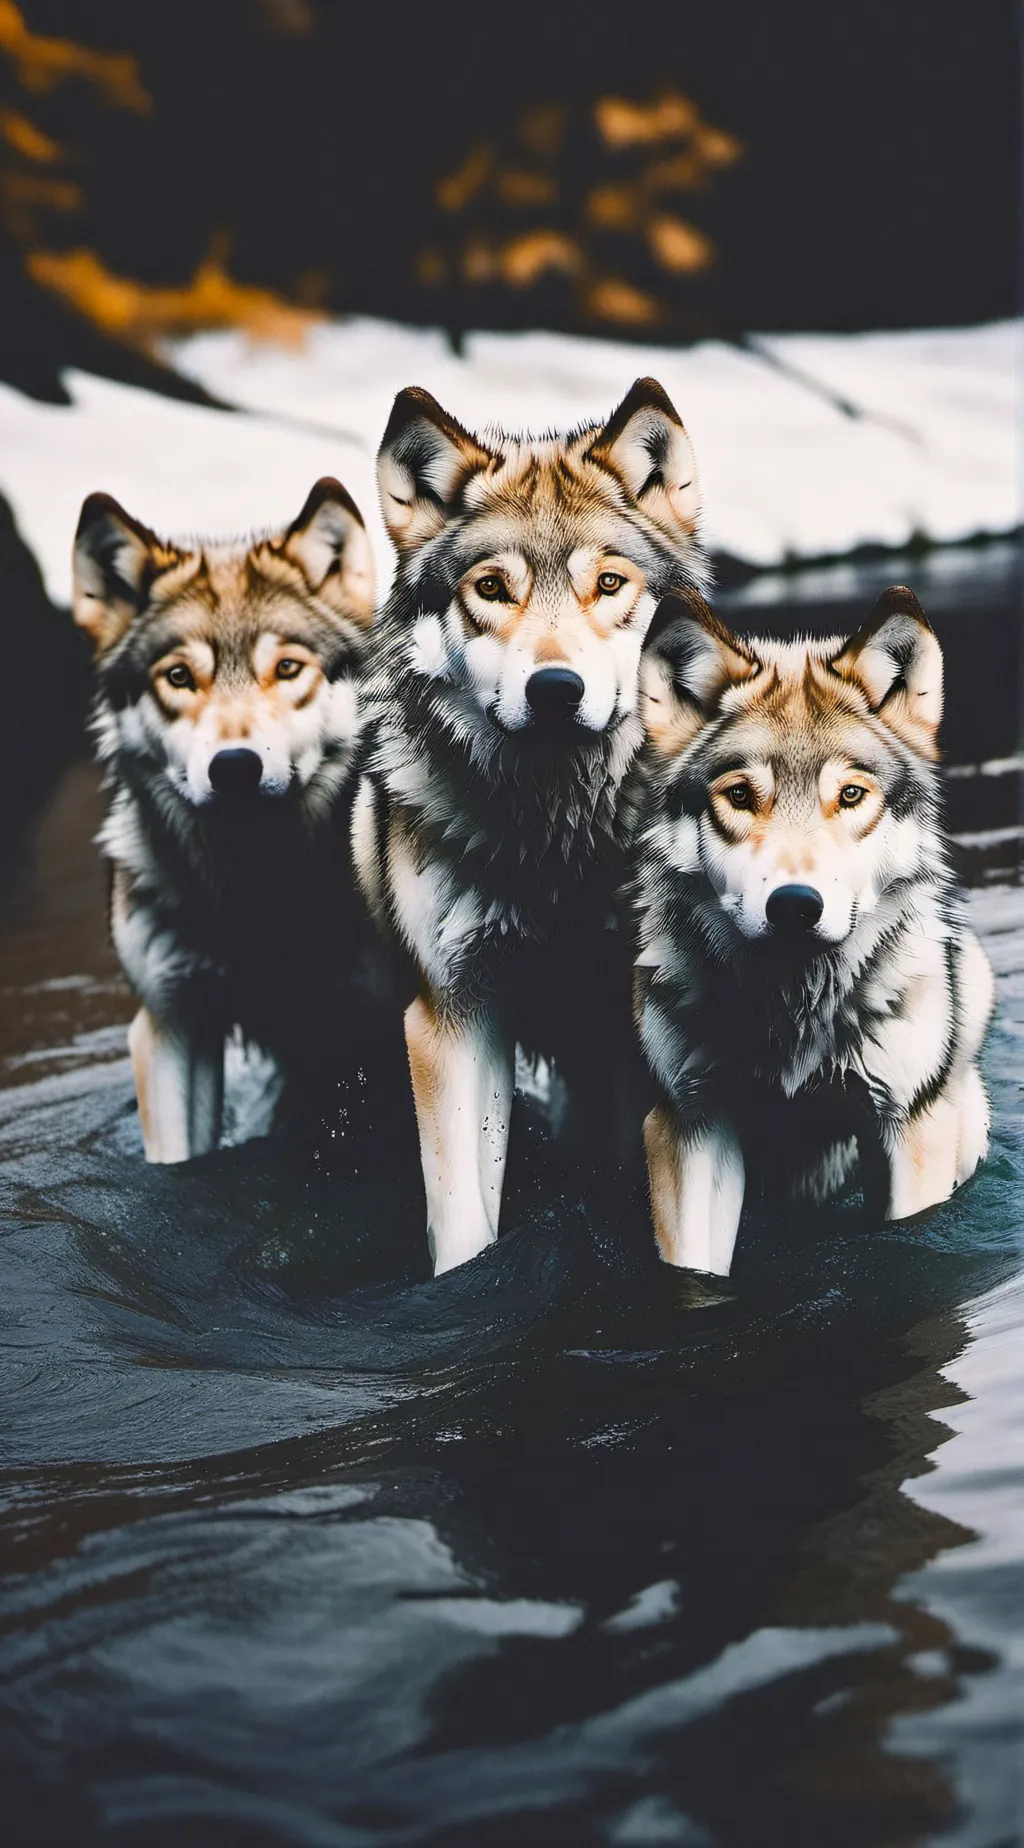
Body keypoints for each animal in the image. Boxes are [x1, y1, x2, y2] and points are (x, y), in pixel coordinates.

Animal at [352, 378, 707, 1273]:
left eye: (609, 585)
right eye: (491, 590)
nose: (555, 689)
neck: (560, 845)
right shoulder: (453, 1018)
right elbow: (463, 1222)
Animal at [632, 584, 995, 1275]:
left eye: (850, 796)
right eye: (739, 796)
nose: (795, 906)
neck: (792, 1010)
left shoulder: (908, 1126)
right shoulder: (690, 1127)